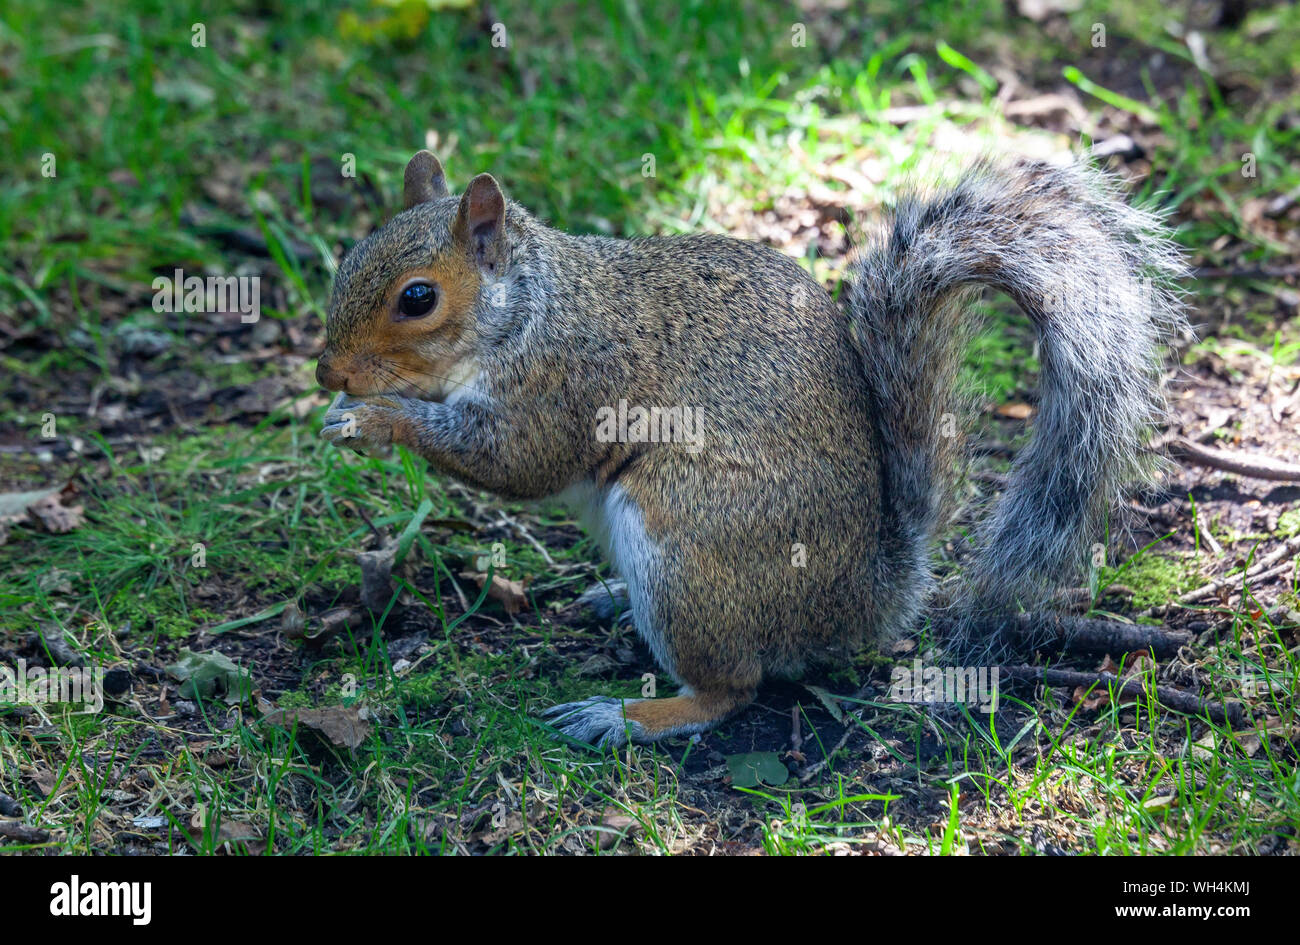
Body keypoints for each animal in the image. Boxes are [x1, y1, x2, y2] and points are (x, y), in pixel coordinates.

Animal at [314, 149, 1190, 748]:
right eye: (348, 259)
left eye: (418, 299)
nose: (328, 369)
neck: (526, 309)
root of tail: (867, 598)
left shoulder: (563, 382)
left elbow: (514, 461)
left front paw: (376, 418)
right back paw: (611, 600)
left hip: (688, 544)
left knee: (732, 688)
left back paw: (627, 714)